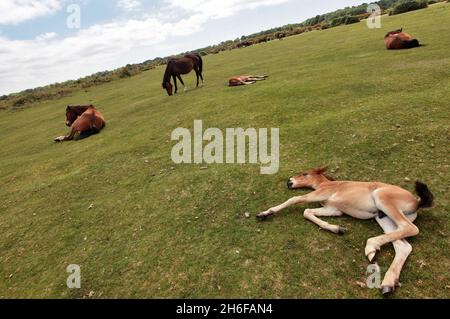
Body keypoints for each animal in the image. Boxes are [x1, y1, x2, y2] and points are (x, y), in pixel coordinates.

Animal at [258, 169, 434, 296]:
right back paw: (388, 283)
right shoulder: (333, 209)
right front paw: (337, 229)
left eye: (305, 173)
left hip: (383, 198)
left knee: (410, 229)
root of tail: (417, 202)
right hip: (383, 217)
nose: (289, 181)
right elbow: (308, 212)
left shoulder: (319, 194)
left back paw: (371, 246)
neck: (326, 184)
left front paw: (265, 213)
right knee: (403, 245)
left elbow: (295, 200)